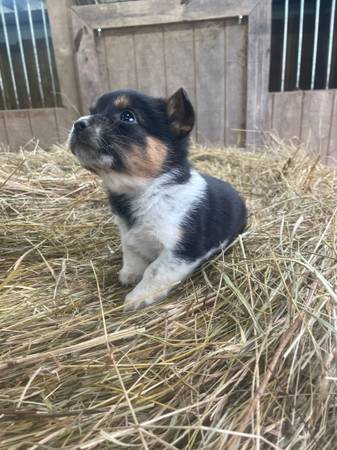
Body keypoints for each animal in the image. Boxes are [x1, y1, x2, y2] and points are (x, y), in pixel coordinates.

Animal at [69, 89, 247, 312]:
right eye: (92, 111)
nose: (78, 124)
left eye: (127, 116)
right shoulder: (128, 236)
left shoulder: (182, 250)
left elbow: (155, 270)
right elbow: (132, 254)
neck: (148, 191)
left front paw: (137, 297)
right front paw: (129, 274)